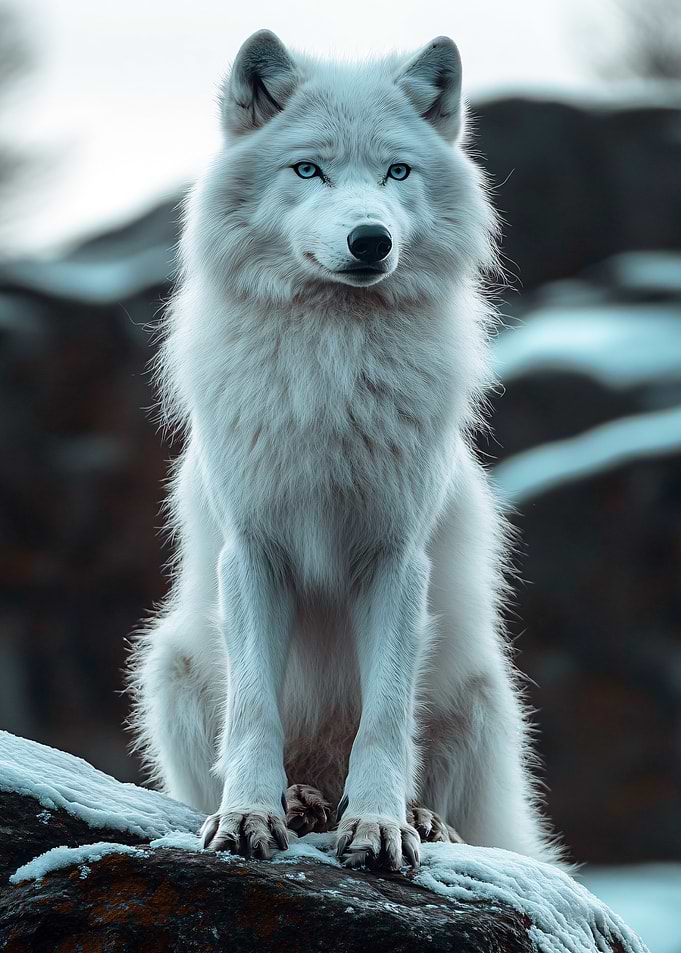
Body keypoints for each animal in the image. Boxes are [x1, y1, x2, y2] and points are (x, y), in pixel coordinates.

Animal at [128, 29, 564, 870]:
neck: (331, 360)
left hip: (484, 688)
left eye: (396, 171)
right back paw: (299, 802)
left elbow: (384, 718)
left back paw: (417, 818)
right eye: (309, 169)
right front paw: (248, 815)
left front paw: (379, 824)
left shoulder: (394, 557)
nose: (371, 238)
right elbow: (254, 711)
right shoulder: (253, 551)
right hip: (167, 661)